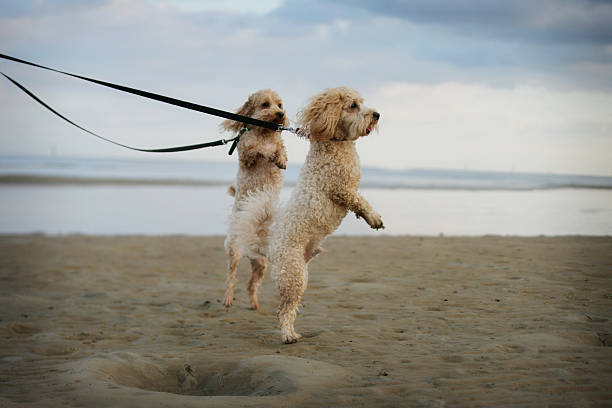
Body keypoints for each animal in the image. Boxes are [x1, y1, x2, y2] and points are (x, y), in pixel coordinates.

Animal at [221, 89, 288, 310]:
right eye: (265, 104)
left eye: (280, 105)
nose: (280, 114)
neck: (265, 133)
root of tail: (249, 250)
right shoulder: (246, 156)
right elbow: (255, 150)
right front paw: (266, 152)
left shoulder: (278, 145)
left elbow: (280, 150)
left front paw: (280, 159)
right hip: (233, 254)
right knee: (231, 279)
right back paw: (228, 298)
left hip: (261, 265)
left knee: (251, 285)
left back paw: (254, 303)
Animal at [233, 87, 382, 342]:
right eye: (353, 106)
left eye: (361, 103)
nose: (377, 114)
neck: (334, 143)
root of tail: (269, 246)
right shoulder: (340, 189)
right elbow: (360, 201)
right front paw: (374, 218)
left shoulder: (347, 188)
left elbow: (359, 200)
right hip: (293, 275)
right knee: (284, 309)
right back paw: (287, 335)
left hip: (298, 273)